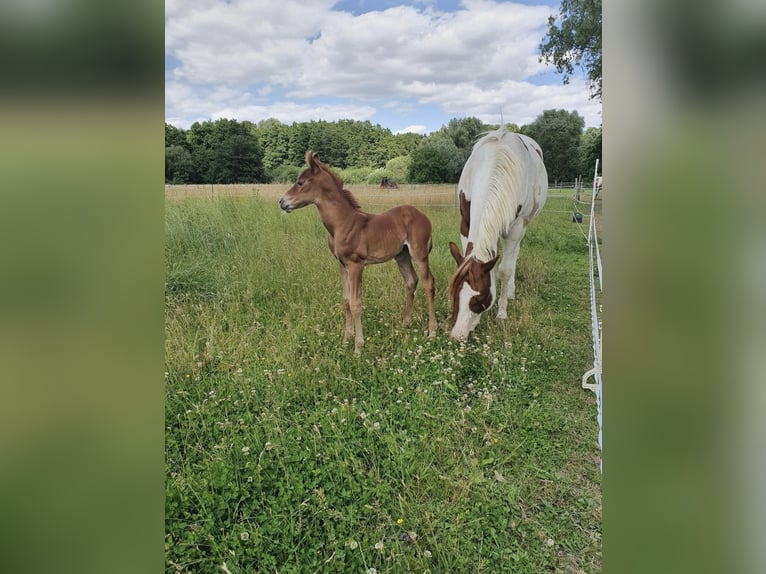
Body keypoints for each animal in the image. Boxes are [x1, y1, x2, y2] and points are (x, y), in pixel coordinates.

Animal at [280, 151, 438, 354]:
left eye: (300, 182)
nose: (282, 202)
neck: (341, 223)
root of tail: (423, 216)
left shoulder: (356, 264)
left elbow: (356, 303)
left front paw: (358, 347)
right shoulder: (342, 265)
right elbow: (346, 300)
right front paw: (345, 340)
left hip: (419, 253)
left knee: (428, 283)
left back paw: (432, 331)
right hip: (401, 255)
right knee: (411, 281)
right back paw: (405, 323)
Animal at [448, 128, 548, 340]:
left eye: (480, 298)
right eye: (454, 293)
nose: (457, 335)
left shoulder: (516, 227)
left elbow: (505, 270)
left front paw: (501, 312)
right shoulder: (465, 223)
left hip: (523, 226)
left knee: (514, 255)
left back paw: (510, 291)